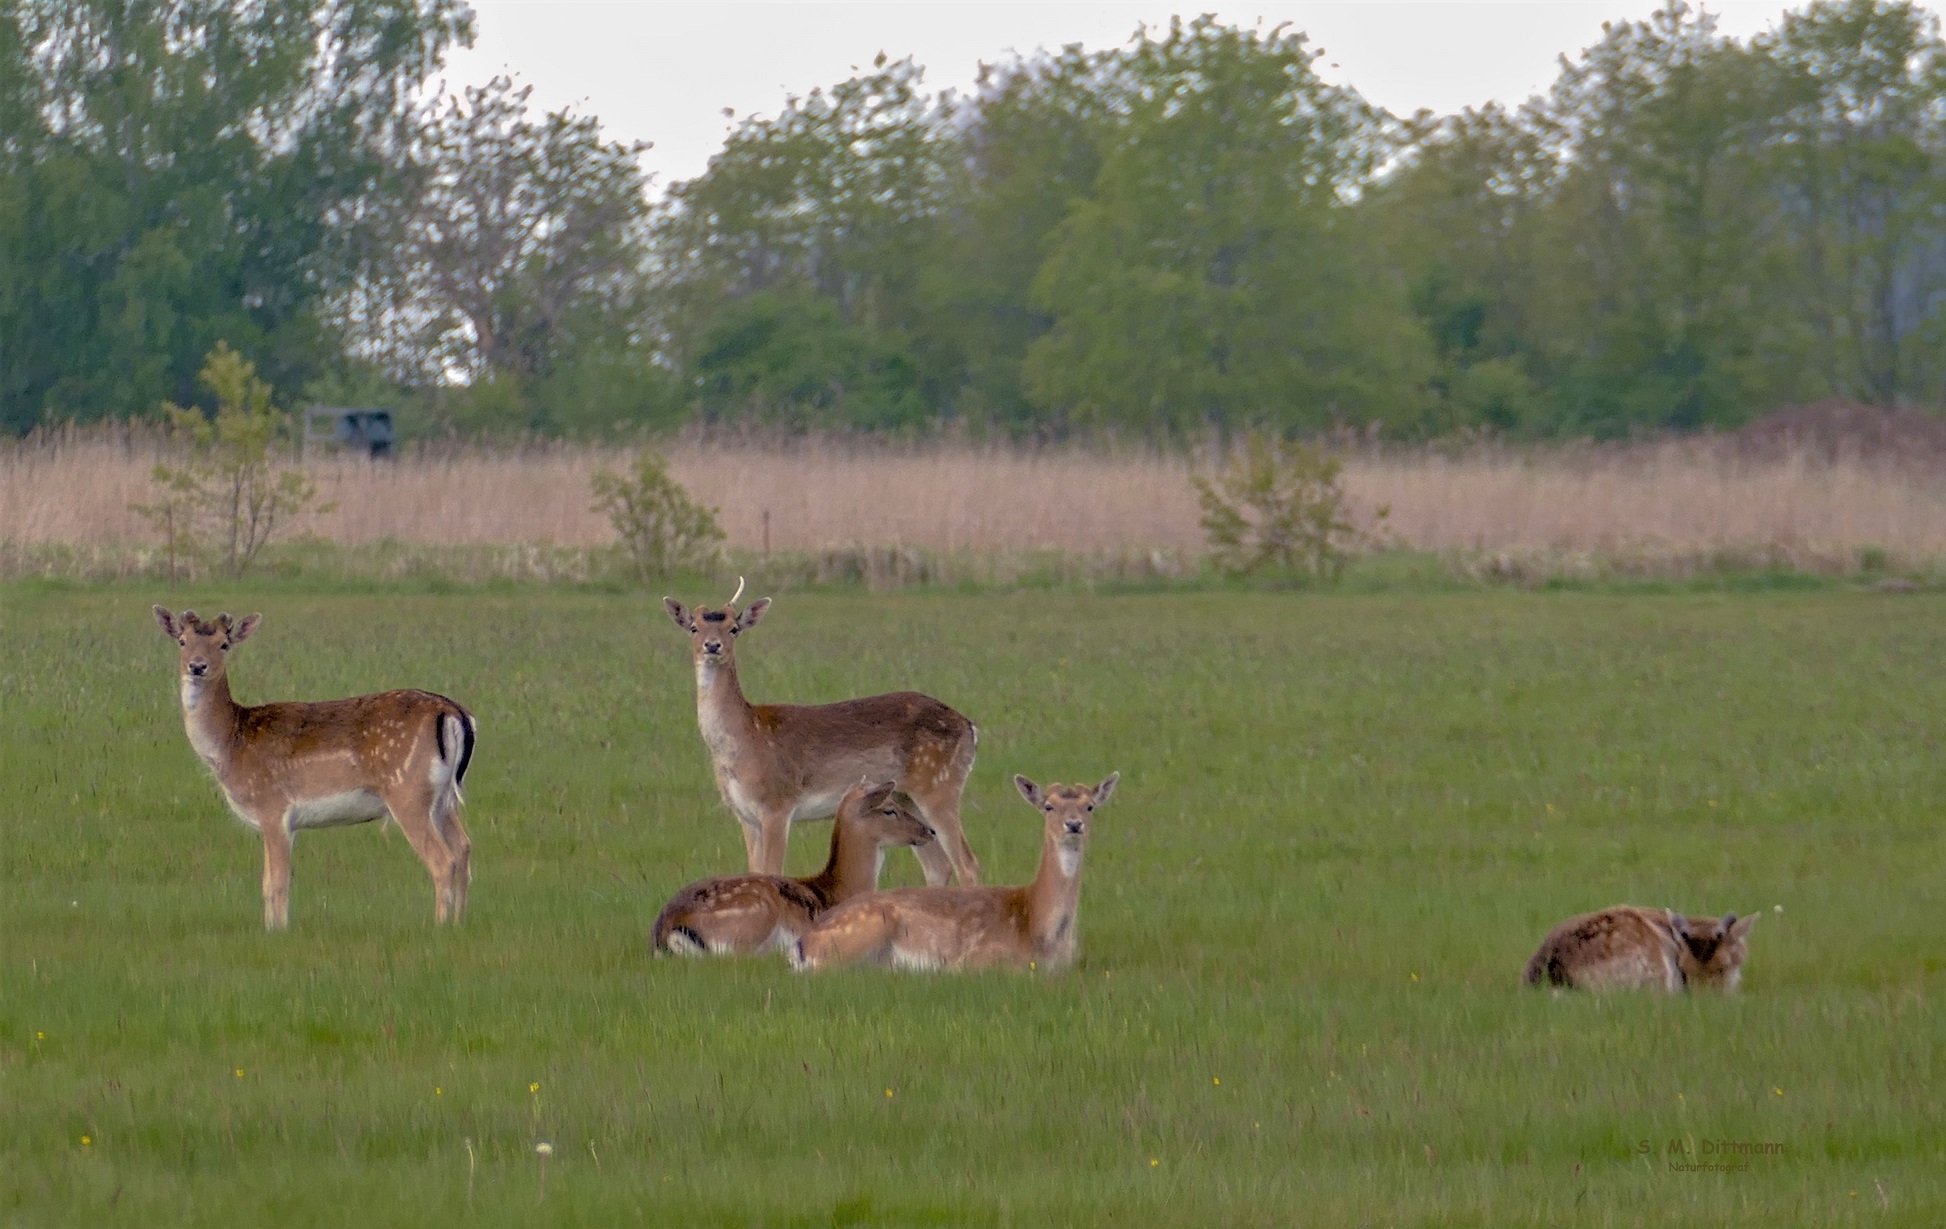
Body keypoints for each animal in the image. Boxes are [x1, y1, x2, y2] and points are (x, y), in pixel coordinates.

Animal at [151, 610, 478, 925]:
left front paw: (278, 931)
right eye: (182, 641)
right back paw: (459, 923)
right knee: (463, 847)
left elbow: (276, 883)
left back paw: (439, 925)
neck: (230, 745)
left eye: (224, 644)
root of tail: (454, 712)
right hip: (443, 797)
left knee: (442, 860)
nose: (197, 666)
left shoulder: (273, 807)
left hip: (407, 790)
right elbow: (268, 883)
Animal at [661, 583, 980, 882]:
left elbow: (773, 871)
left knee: (966, 863)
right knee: (938, 865)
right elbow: (754, 872)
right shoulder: (745, 815)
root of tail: (971, 728)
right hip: (906, 797)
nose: (712, 645)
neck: (746, 738)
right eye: (694, 628)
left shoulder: (778, 804)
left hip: (940, 785)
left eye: (734, 629)